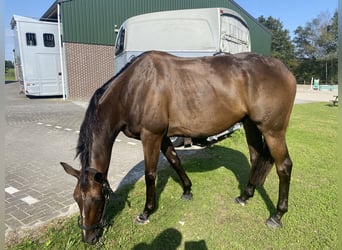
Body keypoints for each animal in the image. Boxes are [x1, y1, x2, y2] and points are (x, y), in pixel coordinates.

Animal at [60, 50, 296, 244]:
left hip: (273, 131)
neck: (133, 89)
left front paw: (145, 213)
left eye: (97, 198)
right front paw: (187, 190)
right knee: (256, 158)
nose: (89, 238)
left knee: (284, 166)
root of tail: (285, 71)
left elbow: (150, 174)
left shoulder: (151, 135)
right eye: (76, 198)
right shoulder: (163, 136)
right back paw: (245, 196)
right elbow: (174, 159)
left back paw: (276, 215)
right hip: (251, 124)